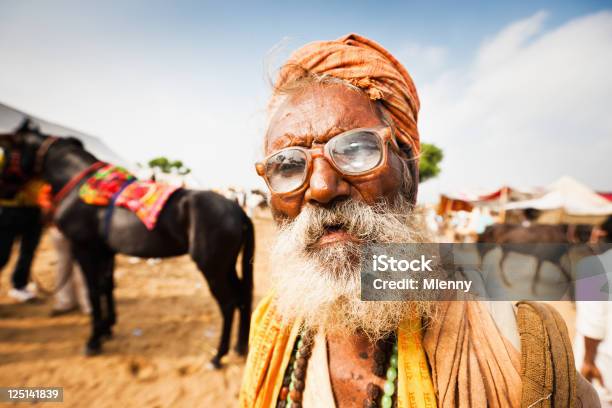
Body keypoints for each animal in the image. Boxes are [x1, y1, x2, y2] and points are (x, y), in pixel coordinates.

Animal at [0, 122, 253, 368]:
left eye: (6, 150)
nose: (7, 195)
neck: (80, 187)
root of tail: (236, 209)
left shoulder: (84, 249)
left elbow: (93, 290)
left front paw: (93, 340)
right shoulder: (105, 251)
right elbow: (107, 286)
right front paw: (107, 328)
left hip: (212, 267)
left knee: (228, 303)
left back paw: (218, 356)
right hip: (226, 266)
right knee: (242, 297)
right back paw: (240, 348)